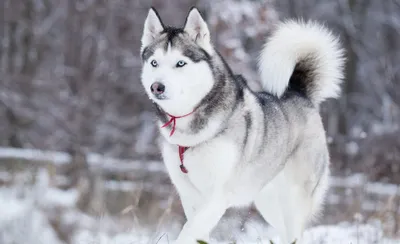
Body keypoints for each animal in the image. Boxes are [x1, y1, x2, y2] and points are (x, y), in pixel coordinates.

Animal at [140, 6, 344, 244]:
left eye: (180, 63)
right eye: (154, 63)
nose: (157, 87)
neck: (190, 129)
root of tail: (299, 93)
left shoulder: (218, 196)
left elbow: (189, 231)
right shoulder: (189, 195)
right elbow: (196, 231)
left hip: (294, 200)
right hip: (268, 201)